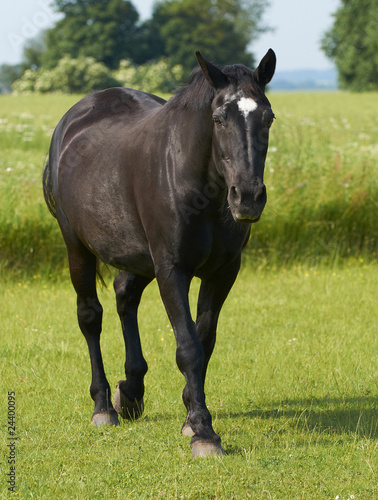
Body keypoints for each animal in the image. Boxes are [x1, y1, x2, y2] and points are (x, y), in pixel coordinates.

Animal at [42, 50, 276, 458]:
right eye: (218, 119)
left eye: (268, 118)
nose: (247, 197)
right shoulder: (171, 269)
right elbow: (189, 347)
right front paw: (203, 432)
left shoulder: (223, 272)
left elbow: (205, 340)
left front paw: (190, 413)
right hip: (78, 248)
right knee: (90, 316)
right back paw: (103, 406)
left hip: (139, 258)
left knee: (124, 296)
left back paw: (131, 393)